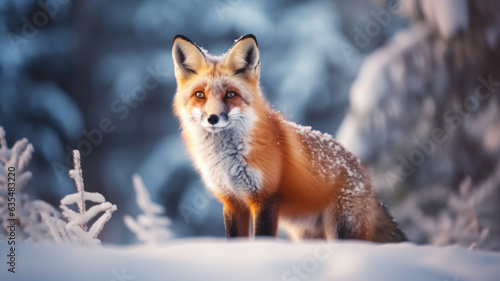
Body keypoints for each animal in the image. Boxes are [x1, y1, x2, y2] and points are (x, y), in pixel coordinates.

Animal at [172, 34, 406, 241]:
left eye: (230, 94)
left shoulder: (265, 198)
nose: (212, 118)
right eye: (200, 95)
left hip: (342, 230)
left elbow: (263, 239)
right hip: (306, 234)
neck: (227, 160)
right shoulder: (232, 201)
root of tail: (366, 175)